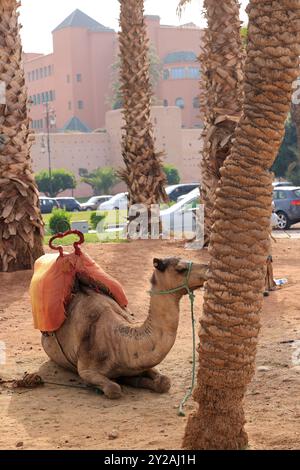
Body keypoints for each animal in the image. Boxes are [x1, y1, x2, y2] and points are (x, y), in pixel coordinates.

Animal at [41, 258, 207, 398]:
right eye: (181, 268)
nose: (207, 268)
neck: (118, 342)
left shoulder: (141, 363)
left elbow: (165, 382)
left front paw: (135, 380)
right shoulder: (86, 369)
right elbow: (113, 389)